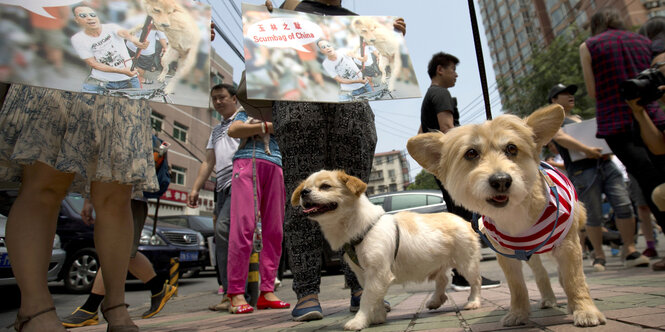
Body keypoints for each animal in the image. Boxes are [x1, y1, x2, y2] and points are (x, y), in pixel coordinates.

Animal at [294, 170, 480, 330]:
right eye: (304, 187)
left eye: (325, 186)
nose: (304, 192)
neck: (360, 227)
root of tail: (465, 221)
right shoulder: (363, 273)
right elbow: (374, 297)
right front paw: (377, 317)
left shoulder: (378, 272)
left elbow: (367, 298)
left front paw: (359, 321)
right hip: (439, 263)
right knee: (443, 279)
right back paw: (435, 300)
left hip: (467, 263)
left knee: (475, 282)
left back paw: (473, 301)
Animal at [408, 105, 604, 326]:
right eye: (471, 153)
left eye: (512, 148)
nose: (501, 180)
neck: (514, 214)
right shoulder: (507, 256)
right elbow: (517, 287)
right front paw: (518, 313)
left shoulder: (568, 246)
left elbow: (574, 279)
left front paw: (584, 309)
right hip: (531, 255)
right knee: (541, 274)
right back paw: (547, 298)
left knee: (564, 275)